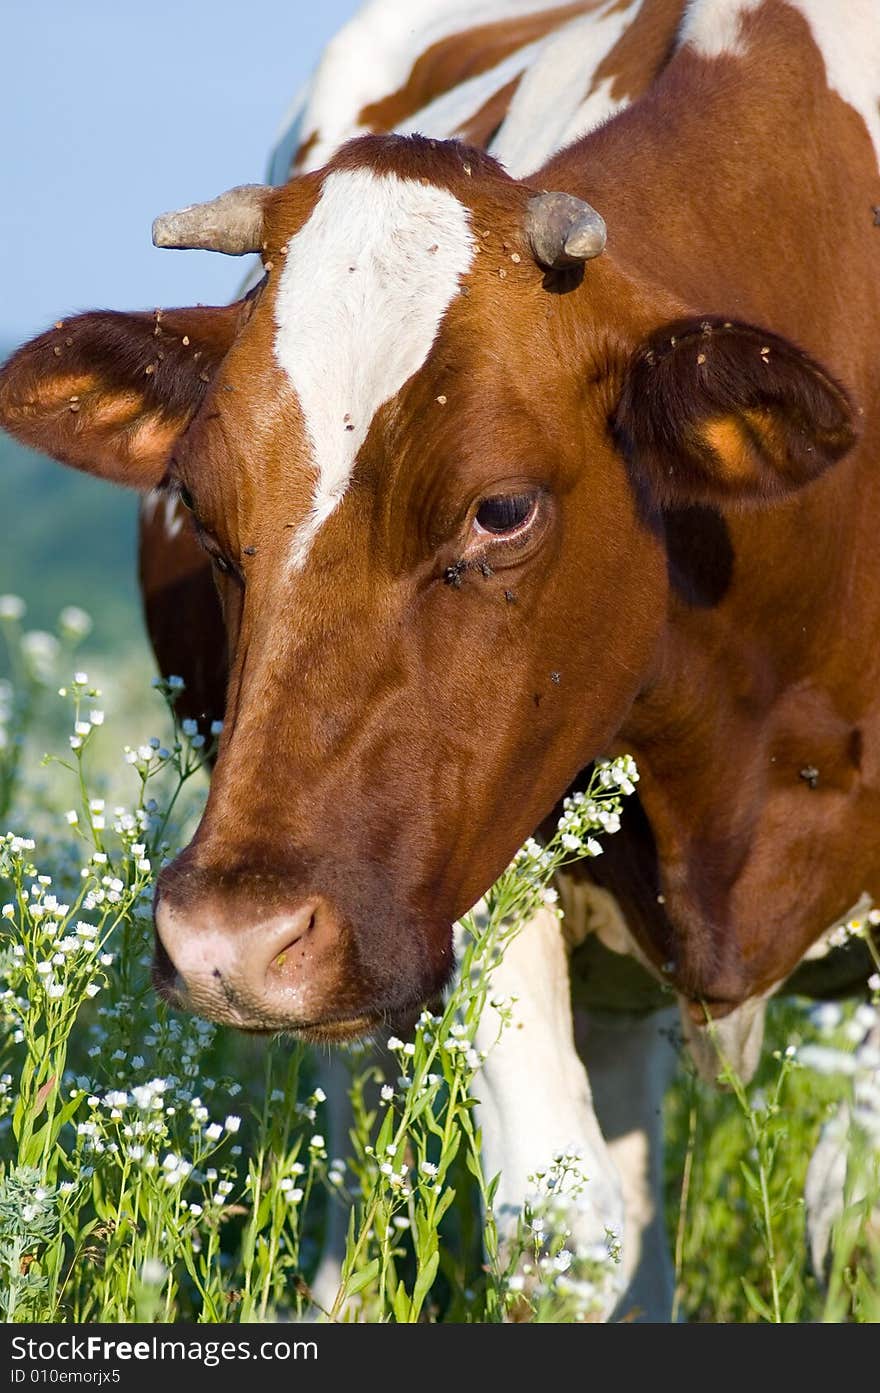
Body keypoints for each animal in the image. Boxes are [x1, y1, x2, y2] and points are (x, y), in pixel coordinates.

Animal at [1, 0, 880, 1320]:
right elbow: (559, 1234)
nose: (229, 943)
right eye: (199, 510)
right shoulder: (465, 863)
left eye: (501, 510)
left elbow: (846, 1212)